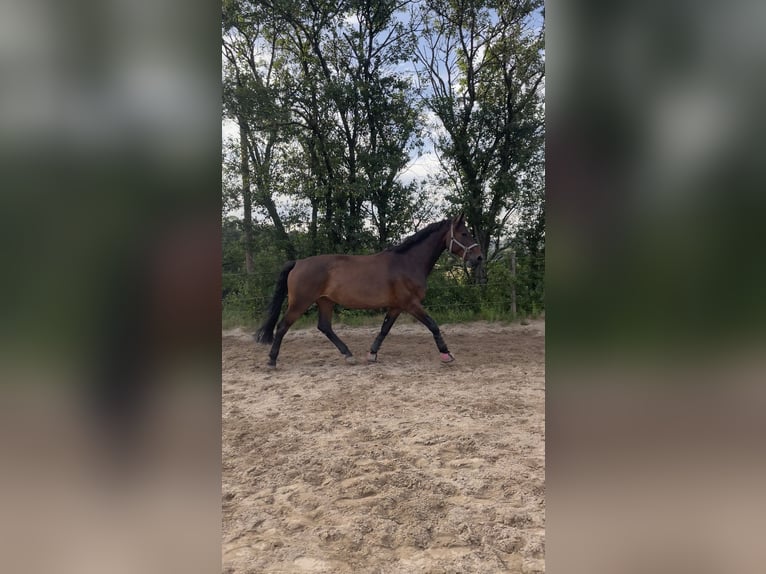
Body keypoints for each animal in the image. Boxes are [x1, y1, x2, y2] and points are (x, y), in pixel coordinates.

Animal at [258, 215, 486, 368]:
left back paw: (348, 355)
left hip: (325, 301)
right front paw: (446, 354)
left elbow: (384, 329)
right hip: (300, 302)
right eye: (464, 233)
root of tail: (298, 263)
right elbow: (433, 325)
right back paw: (271, 360)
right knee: (283, 326)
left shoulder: (396, 306)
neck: (407, 262)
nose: (479, 257)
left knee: (324, 327)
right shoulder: (411, 304)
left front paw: (372, 354)